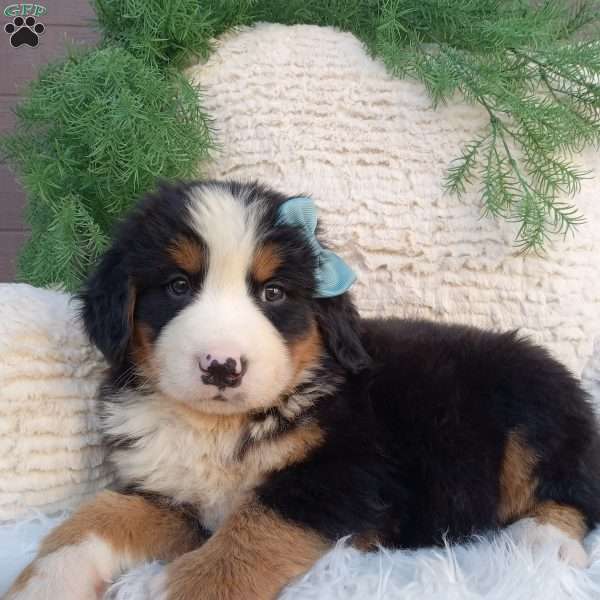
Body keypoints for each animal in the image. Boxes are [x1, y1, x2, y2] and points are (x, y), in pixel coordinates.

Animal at [8, 179, 600, 600]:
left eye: (272, 293)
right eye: (177, 286)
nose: (222, 367)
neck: (220, 427)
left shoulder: (345, 476)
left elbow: (257, 527)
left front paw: (184, 586)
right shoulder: (169, 491)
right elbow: (98, 516)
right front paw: (46, 581)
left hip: (531, 407)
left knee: (573, 489)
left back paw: (540, 542)